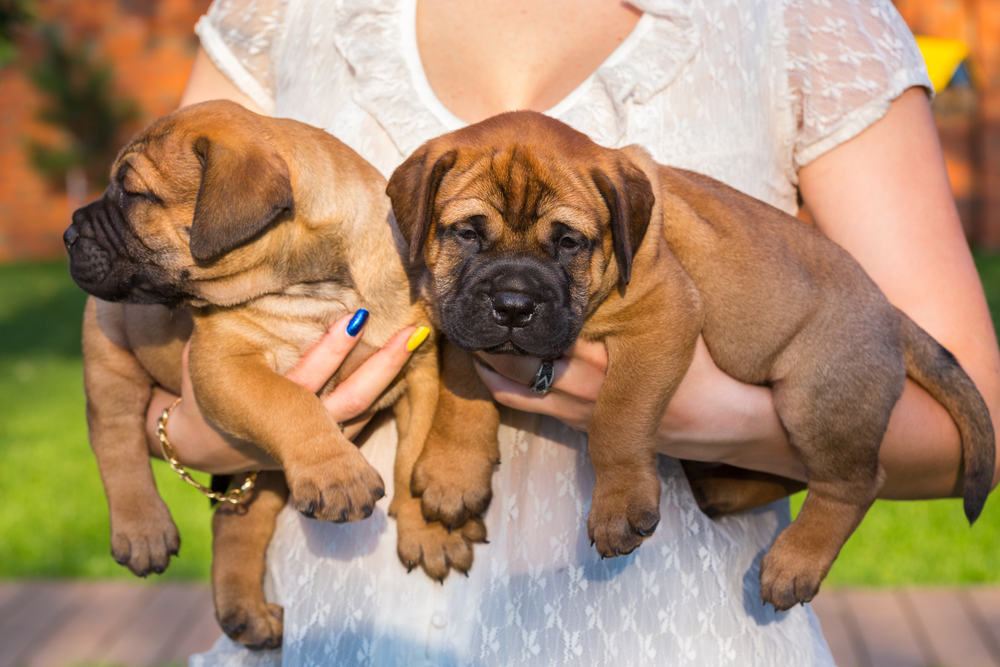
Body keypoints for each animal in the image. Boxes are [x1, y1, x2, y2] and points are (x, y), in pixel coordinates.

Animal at [63, 102, 484, 648]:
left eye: (134, 194)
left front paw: (430, 534)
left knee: (236, 521)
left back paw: (247, 613)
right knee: (114, 436)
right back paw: (142, 529)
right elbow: (291, 402)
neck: (319, 283)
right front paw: (336, 472)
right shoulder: (223, 366)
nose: (68, 234)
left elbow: (414, 454)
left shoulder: (419, 369)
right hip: (108, 344)